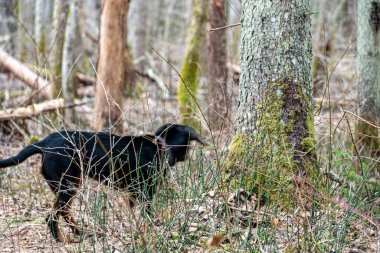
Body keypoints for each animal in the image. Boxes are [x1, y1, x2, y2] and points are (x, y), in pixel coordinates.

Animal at [0, 123, 205, 242]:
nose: (187, 157)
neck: (160, 144)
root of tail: (43, 144)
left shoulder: (132, 195)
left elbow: (134, 215)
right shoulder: (147, 192)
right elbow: (147, 216)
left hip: (71, 185)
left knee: (64, 212)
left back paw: (81, 232)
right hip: (68, 185)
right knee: (52, 217)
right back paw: (63, 239)